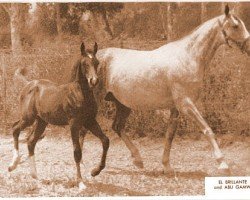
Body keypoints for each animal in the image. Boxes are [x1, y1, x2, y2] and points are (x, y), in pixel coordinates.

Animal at [9, 42, 108, 191]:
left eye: (96, 62)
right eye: (84, 63)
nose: (94, 81)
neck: (80, 93)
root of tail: (28, 84)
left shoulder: (90, 121)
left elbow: (105, 141)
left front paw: (95, 171)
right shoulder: (74, 124)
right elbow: (77, 152)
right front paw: (80, 183)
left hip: (41, 122)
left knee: (31, 141)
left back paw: (35, 175)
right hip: (28, 118)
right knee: (15, 129)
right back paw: (13, 164)